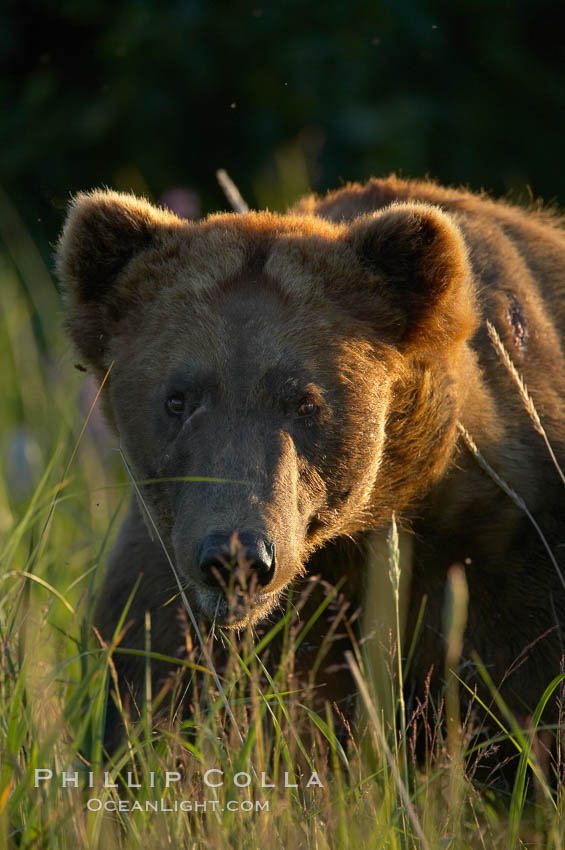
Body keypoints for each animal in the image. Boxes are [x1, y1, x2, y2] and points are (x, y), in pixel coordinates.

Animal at [55, 176, 564, 760]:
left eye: (305, 402)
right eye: (178, 399)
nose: (236, 556)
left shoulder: (510, 557)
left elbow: (519, 712)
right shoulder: (166, 592)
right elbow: (156, 705)